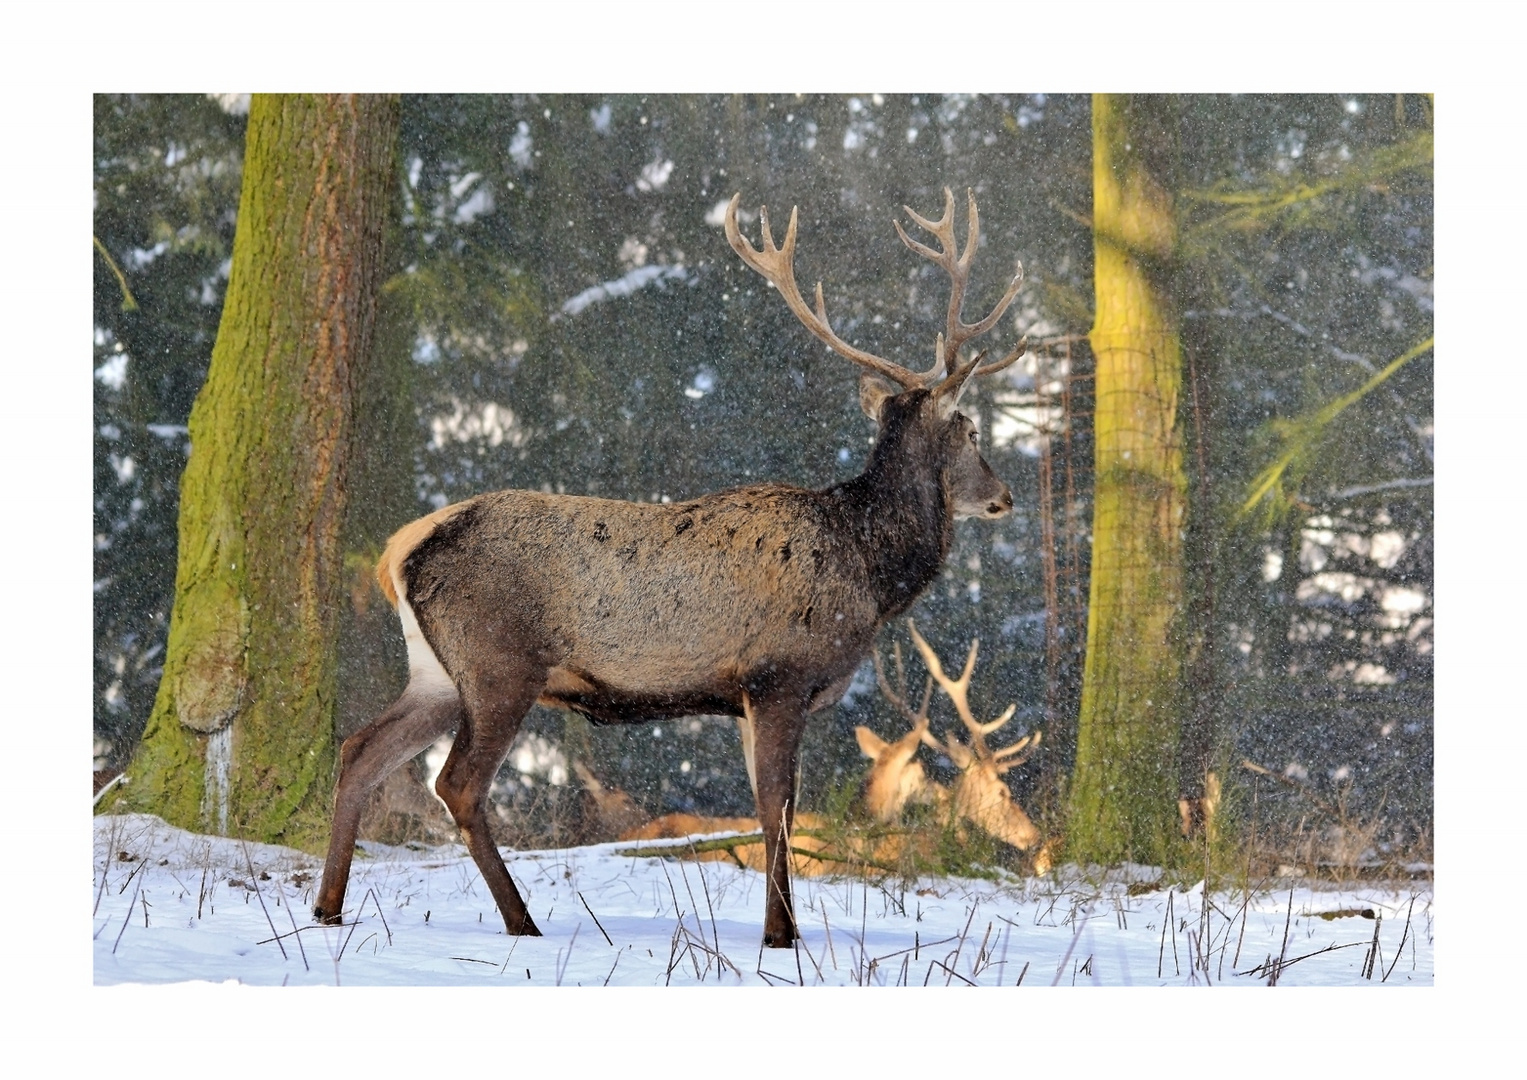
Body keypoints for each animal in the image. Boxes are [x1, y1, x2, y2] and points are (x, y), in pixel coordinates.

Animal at [311, 187, 1032, 947]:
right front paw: (782, 936)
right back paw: (521, 921)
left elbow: (772, 808)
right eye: (970, 431)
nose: (1004, 496)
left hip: (437, 672)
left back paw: (328, 907)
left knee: (359, 749)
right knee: (457, 783)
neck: (867, 572)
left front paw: (783, 929)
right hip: (499, 662)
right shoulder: (780, 674)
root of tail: (399, 549)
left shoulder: (747, 696)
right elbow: (778, 807)